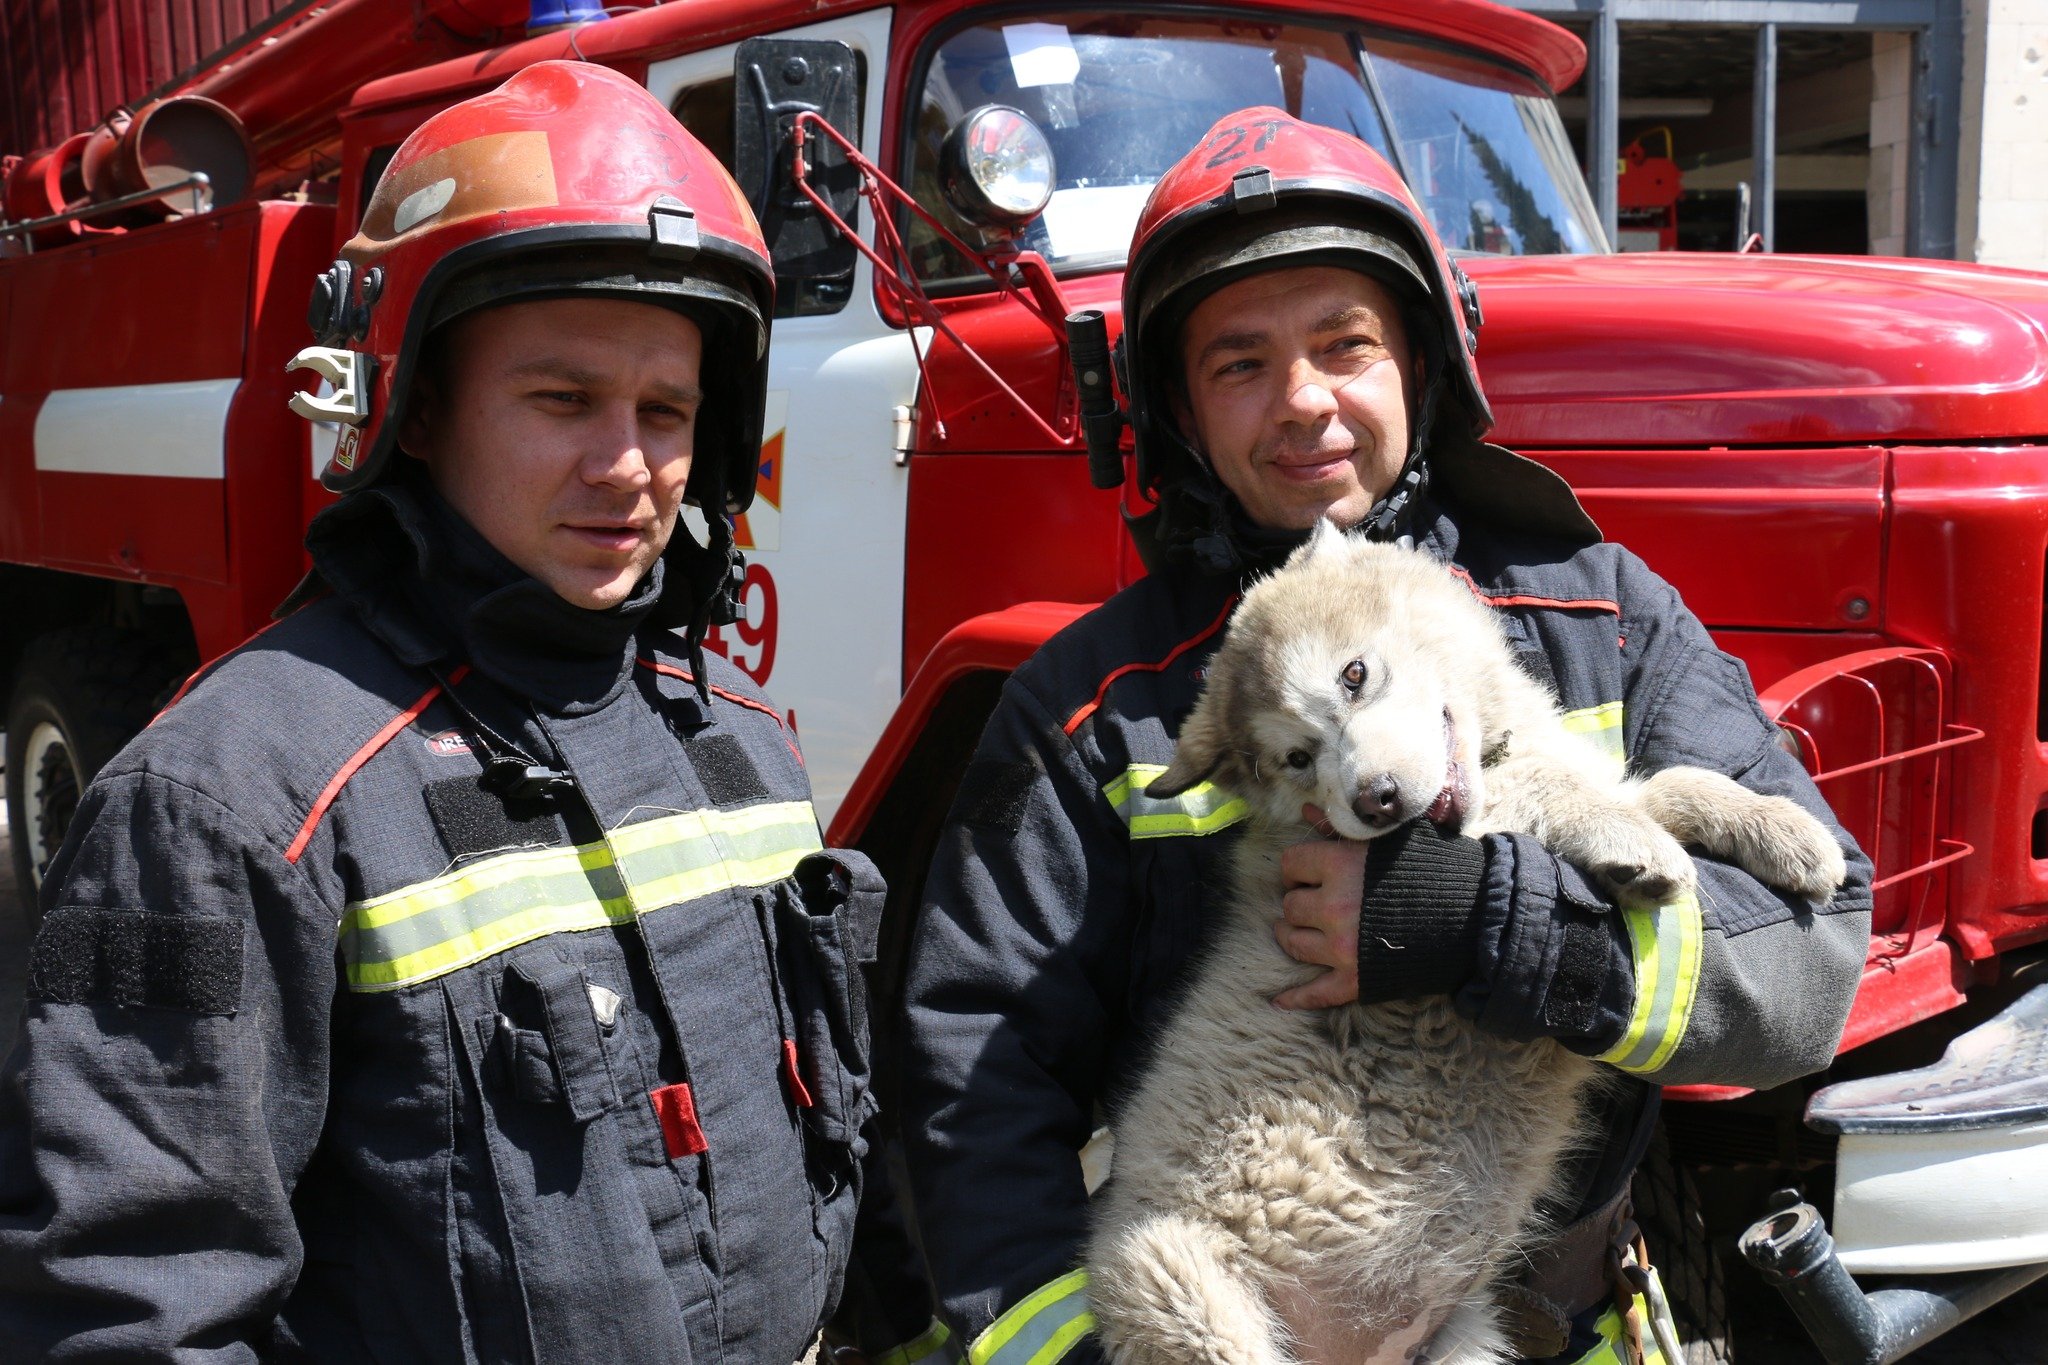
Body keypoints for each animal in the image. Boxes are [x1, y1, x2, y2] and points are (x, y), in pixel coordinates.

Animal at [1089, 527, 1843, 1365]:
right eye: (1296, 758)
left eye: (1354, 674)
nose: (1375, 801)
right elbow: (1559, 791)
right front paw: (1628, 839)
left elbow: (1663, 780)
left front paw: (1782, 829)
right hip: (1178, 1289)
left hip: (1466, 1336)